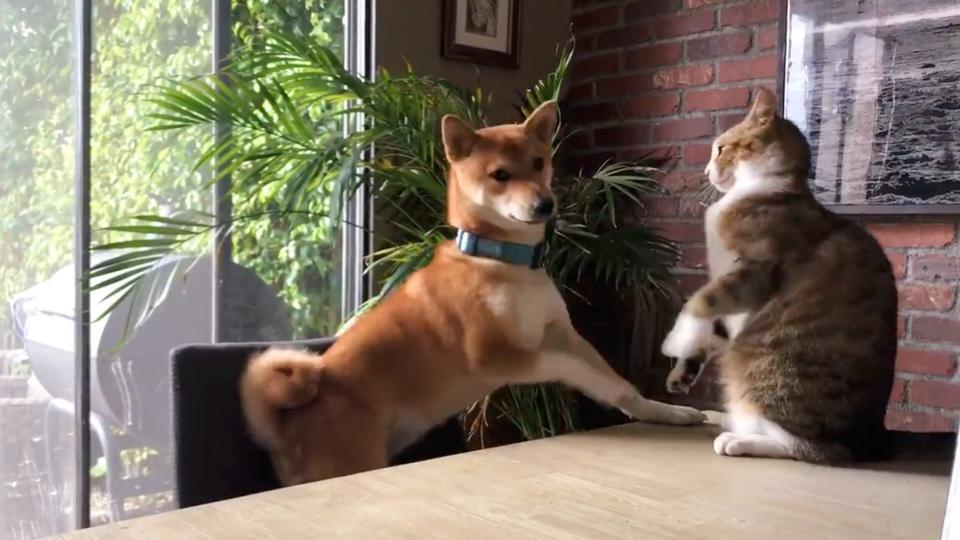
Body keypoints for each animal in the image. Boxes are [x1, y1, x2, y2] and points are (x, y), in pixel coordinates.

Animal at [240, 101, 704, 486]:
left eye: (539, 163)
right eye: (500, 175)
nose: (545, 205)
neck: (501, 260)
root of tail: (286, 423)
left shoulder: (563, 332)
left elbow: (615, 382)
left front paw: (665, 412)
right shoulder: (496, 354)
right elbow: (569, 366)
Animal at [664, 88, 896, 464]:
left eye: (721, 148)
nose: (707, 168)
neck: (763, 189)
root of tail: (872, 437)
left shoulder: (756, 270)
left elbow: (699, 301)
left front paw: (675, 339)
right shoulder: (732, 298)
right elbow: (710, 327)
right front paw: (682, 372)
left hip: (763, 374)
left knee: (813, 448)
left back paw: (737, 440)